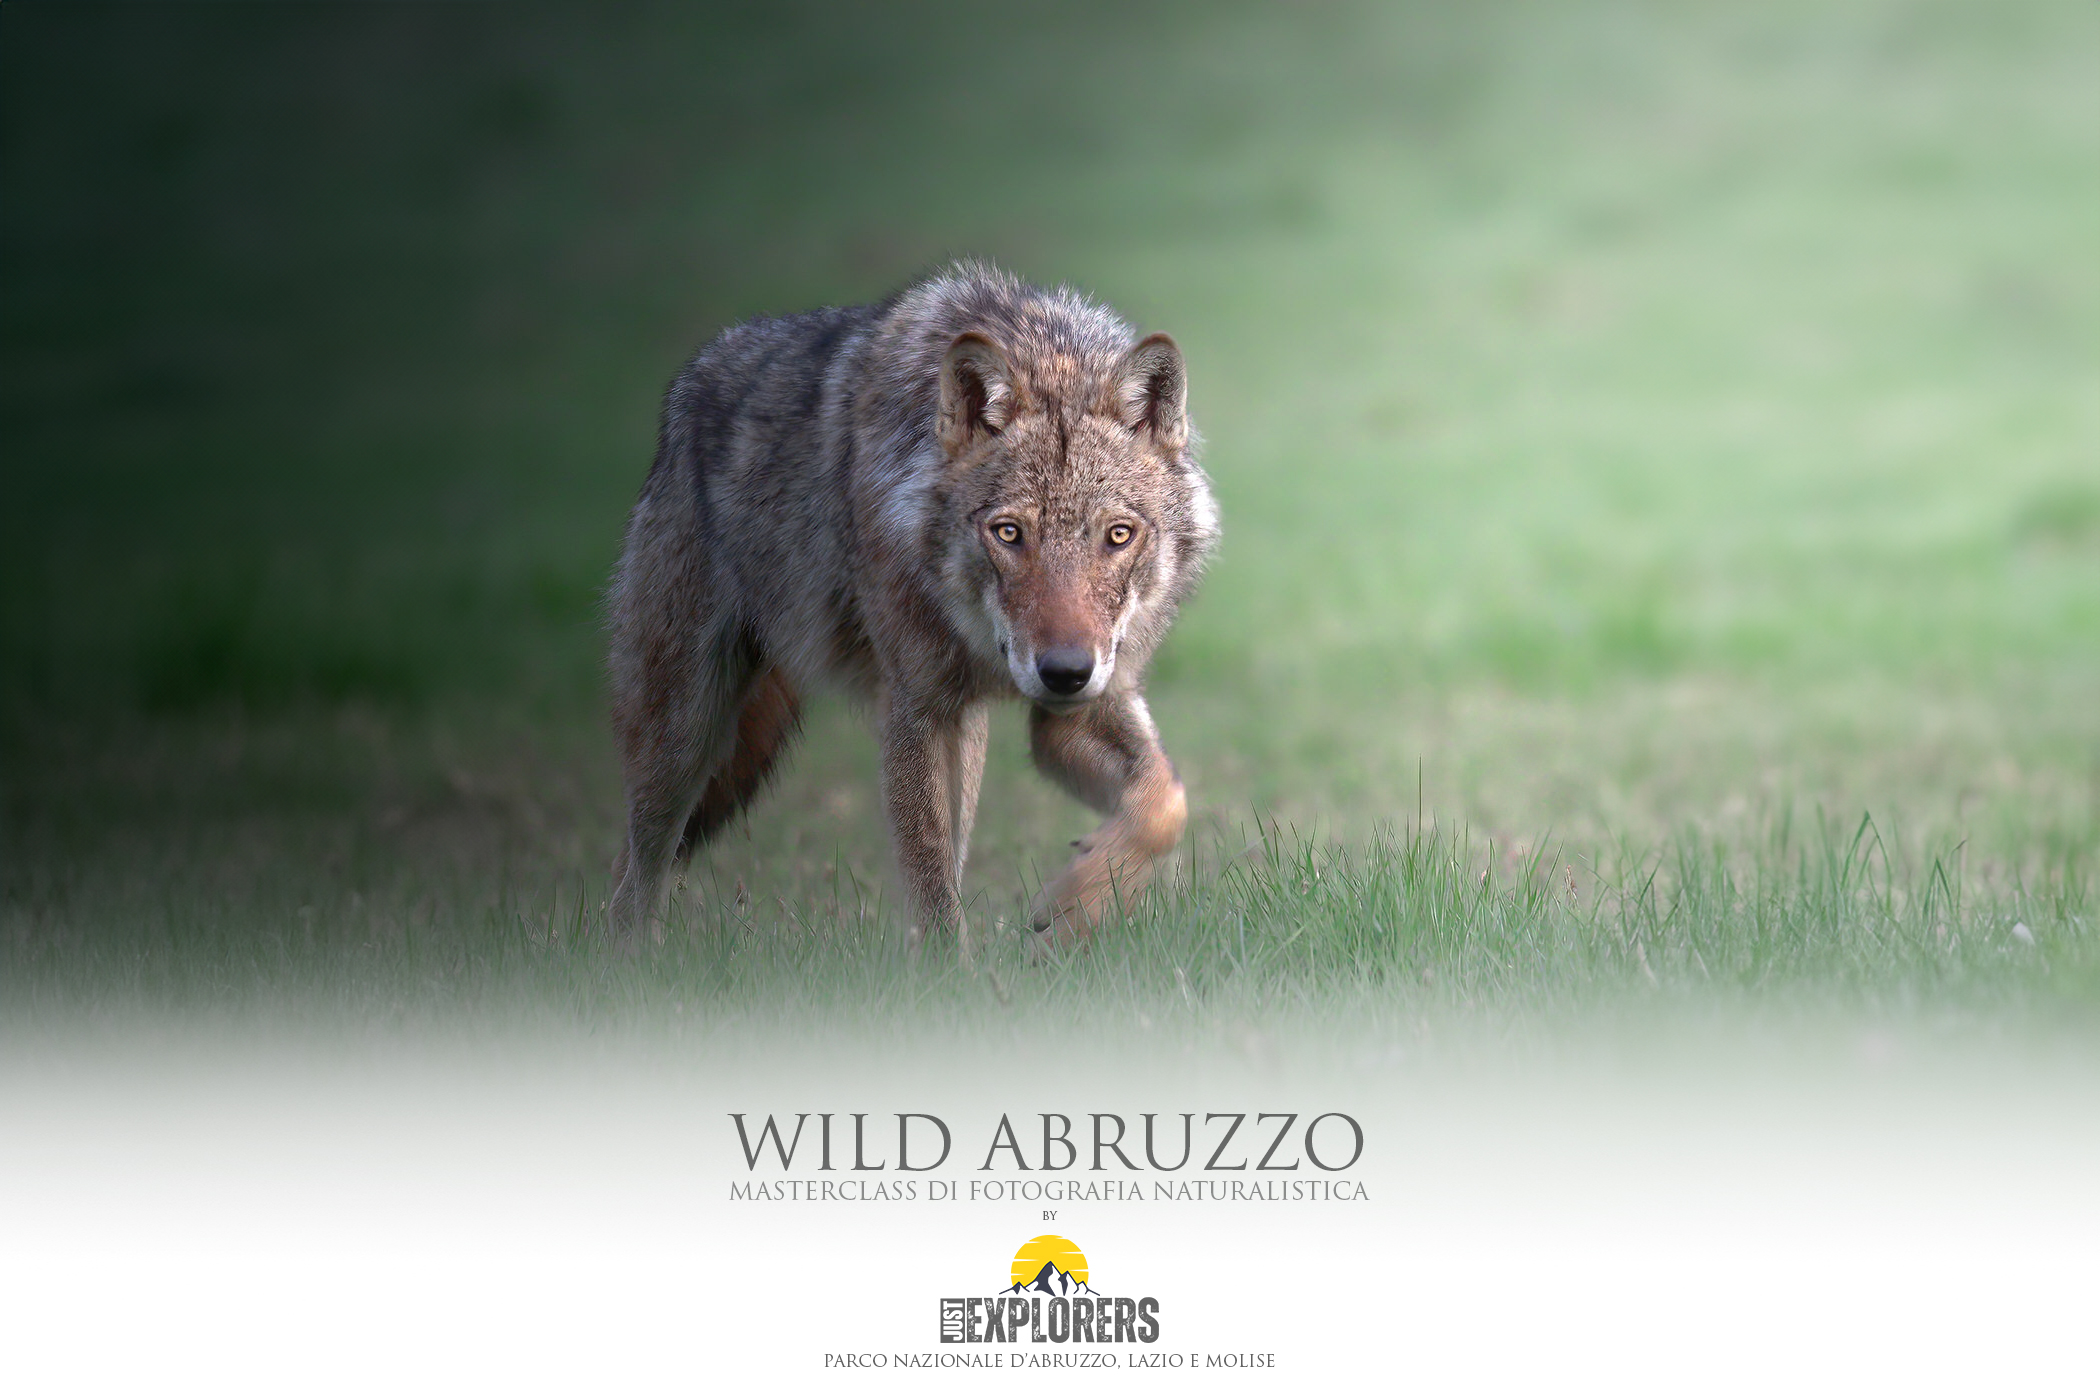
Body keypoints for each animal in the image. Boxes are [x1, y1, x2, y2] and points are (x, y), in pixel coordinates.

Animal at [604, 260, 1218, 965]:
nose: (1065, 671)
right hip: (685, 737)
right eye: (1009, 534)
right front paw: (950, 978)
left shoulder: (1081, 710)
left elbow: (1165, 802)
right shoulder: (914, 708)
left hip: (964, 733)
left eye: (1118, 535)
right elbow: (928, 879)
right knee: (633, 871)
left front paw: (1079, 905)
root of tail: (687, 386)